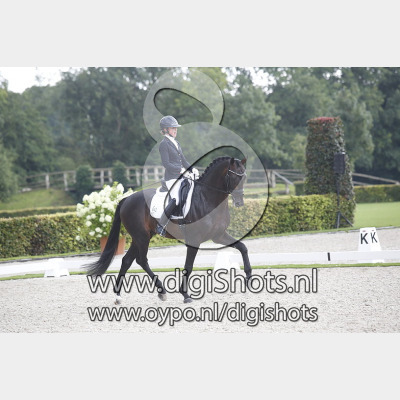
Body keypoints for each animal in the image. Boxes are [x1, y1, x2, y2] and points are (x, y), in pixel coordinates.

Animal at [86, 156, 252, 303]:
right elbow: (188, 266)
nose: (239, 202)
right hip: (142, 237)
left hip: (140, 237)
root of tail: (126, 199)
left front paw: (249, 278)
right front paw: (185, 294)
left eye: (244, 177)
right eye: (233, 176)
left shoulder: (219, 236)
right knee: (141, 260)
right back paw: (161, 291)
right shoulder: (195, 239)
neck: (207, 198)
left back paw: (118, 296)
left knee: (127, 260)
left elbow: (243, 247)